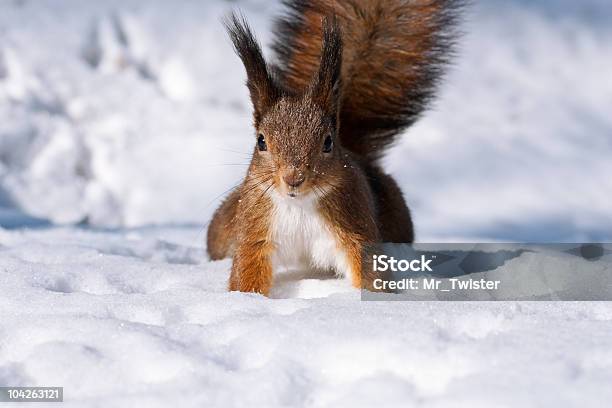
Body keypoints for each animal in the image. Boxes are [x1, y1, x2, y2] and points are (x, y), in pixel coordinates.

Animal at [206, 0, 460, 294]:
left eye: (327, 142)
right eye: (261, 141)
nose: (294, 178)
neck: (300, 206)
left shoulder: (353, 227)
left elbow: (369, 269)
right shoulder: (256, 230)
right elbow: (247, 271)